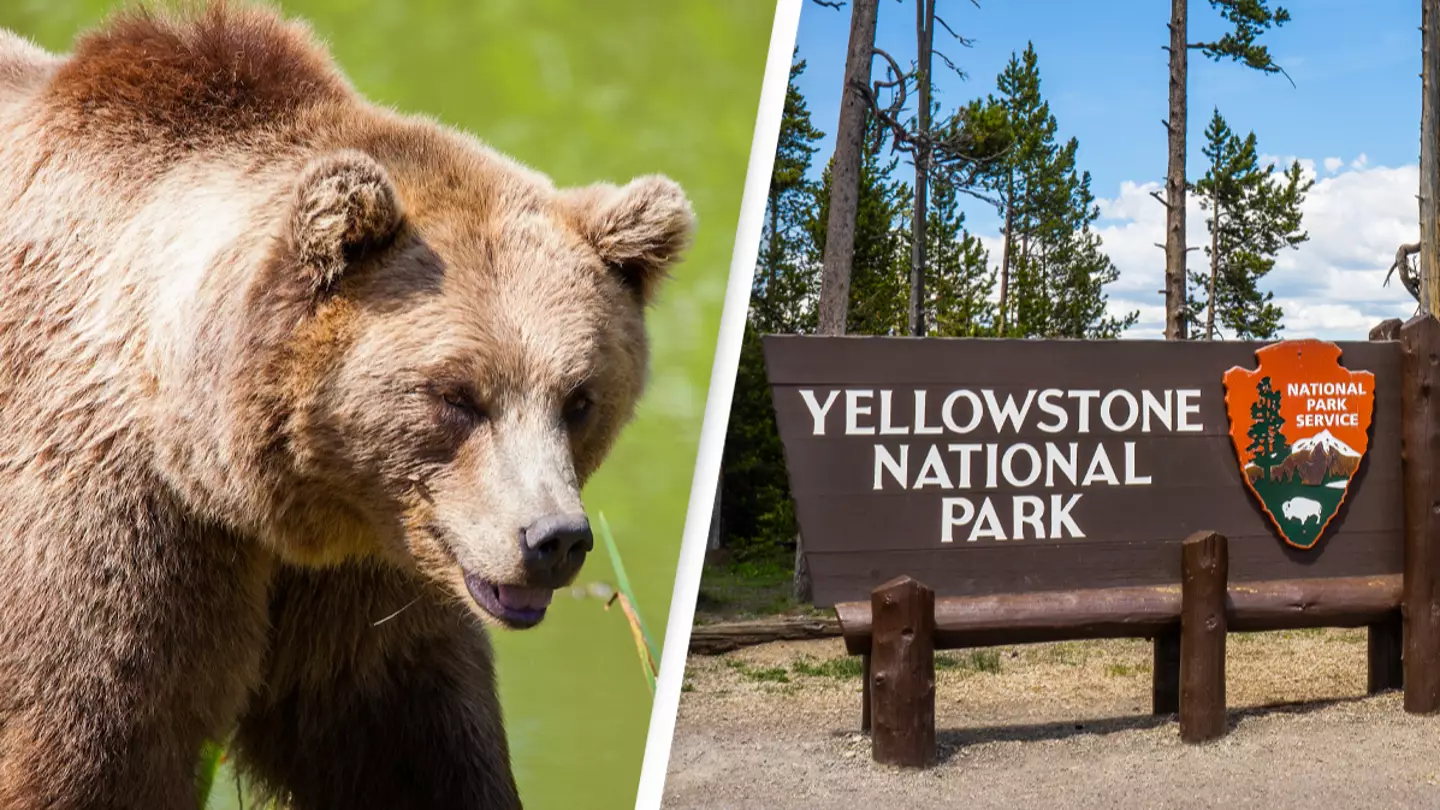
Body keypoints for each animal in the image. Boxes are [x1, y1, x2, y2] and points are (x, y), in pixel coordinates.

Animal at [0, 3, 691, 801]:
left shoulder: (368, 576)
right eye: (457, 395)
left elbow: (408, 743)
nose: (554, 540)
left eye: (579, 398)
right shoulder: (112, 531)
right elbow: (93, 747)